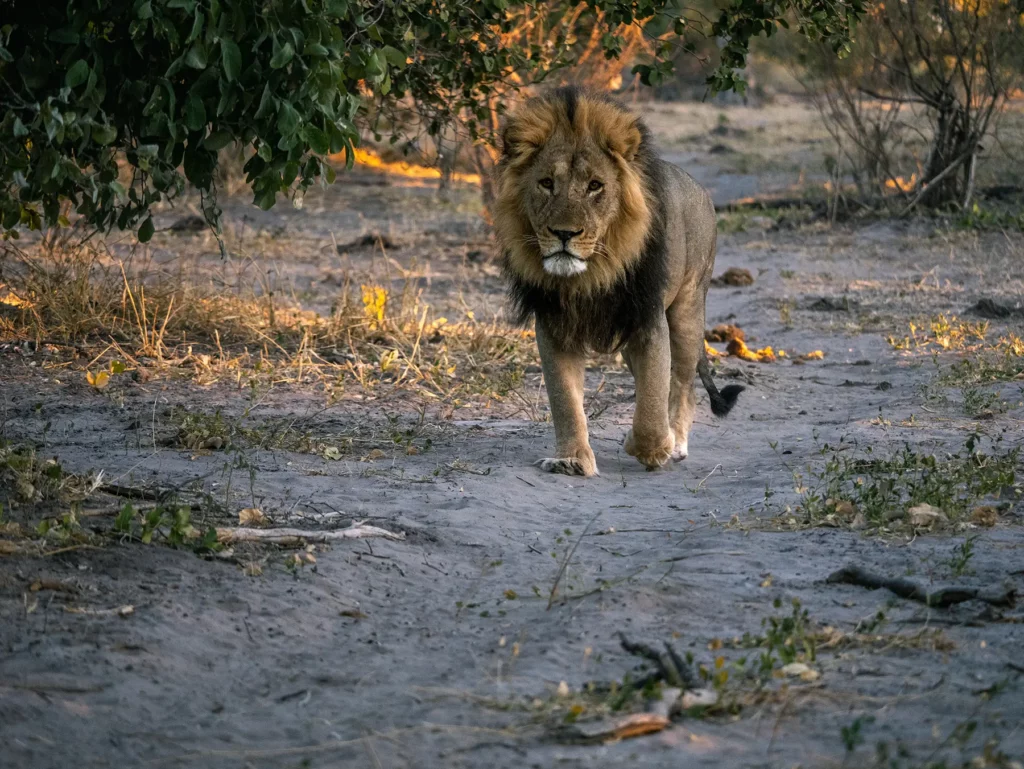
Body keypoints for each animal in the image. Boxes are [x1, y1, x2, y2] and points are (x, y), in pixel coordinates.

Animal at [494, 87, 743, 477]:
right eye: (546, 183)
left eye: (595, 186)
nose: (564, 234)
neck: (589, 276)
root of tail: (700, 188)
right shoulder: (554, 325)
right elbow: (565, 400)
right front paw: (571, 460)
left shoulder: (648, 319)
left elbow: (654, 396)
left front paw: (654, 446)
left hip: (687, 309)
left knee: (683, 382)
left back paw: (678, 442)